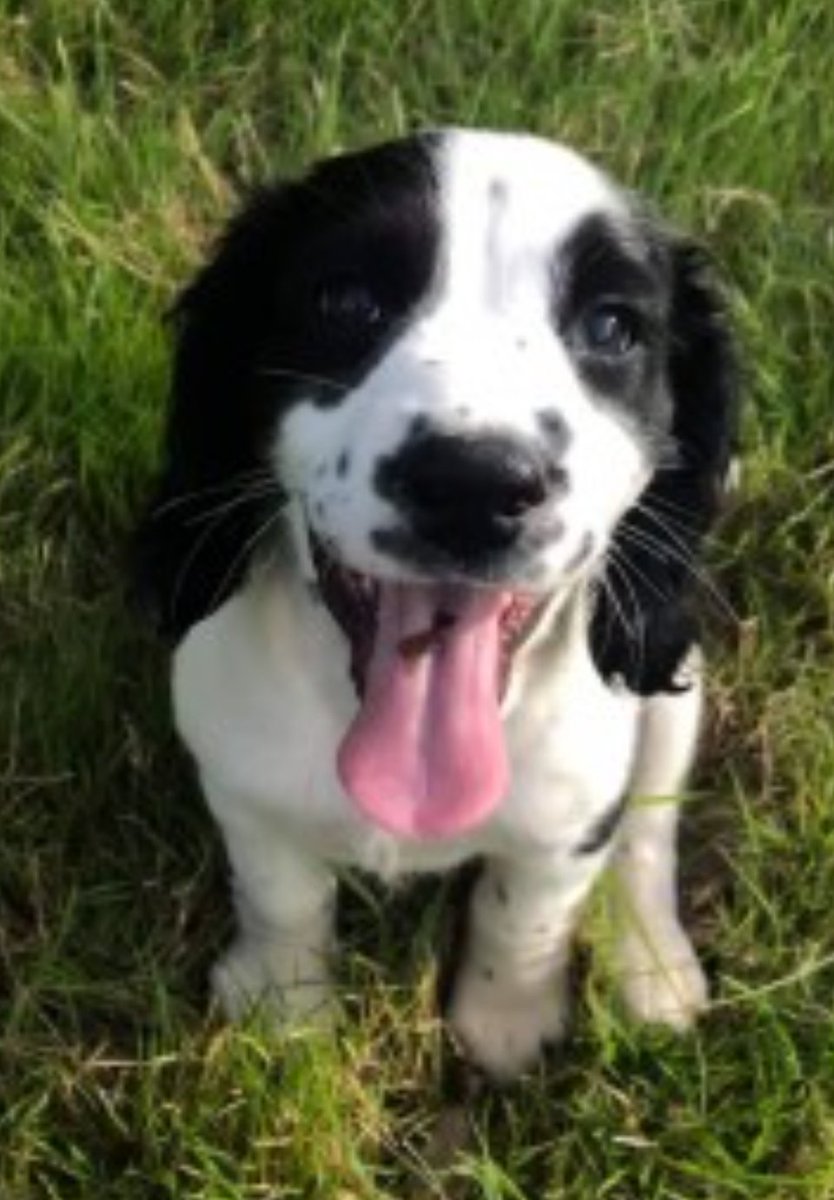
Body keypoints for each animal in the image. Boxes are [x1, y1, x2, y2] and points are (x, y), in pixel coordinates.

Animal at [132, 129, 739, 1080]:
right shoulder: (243, 786)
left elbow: (525, 917)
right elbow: (282, 896)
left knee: (651, 827)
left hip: (675, 688)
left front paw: (505, 1024)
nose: (473, 484)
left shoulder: (568, 821)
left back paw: (652, 965)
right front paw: (286, 1010)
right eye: (345, 300)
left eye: (611, 328)